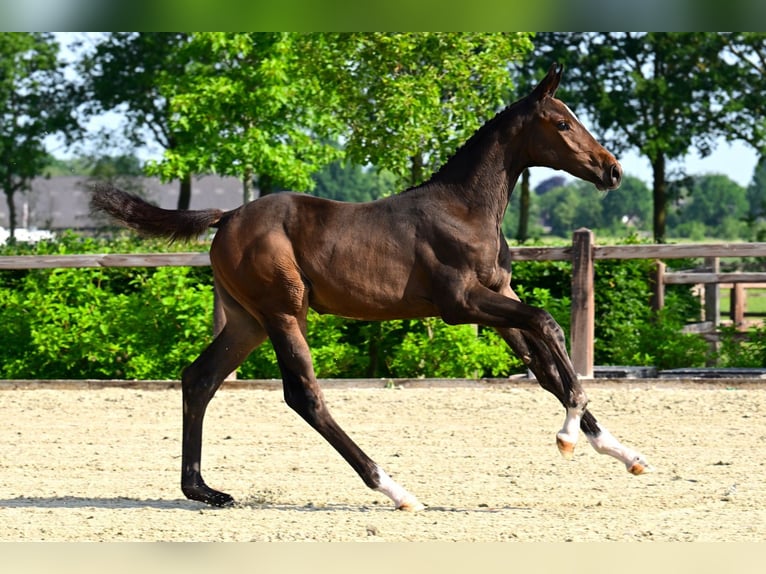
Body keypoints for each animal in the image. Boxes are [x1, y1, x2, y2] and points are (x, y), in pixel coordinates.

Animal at [91, 63, 650, 511]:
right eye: (562, 122)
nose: (613, 170)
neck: (466, 209)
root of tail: (227, 216)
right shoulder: (462, 304)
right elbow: (549, 325)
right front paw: (568, 433)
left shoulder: (499, 298)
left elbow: (545, 365)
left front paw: (625, 453)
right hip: (283, 312)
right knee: (303, 396)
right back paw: (395, 489)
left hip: (247, 321)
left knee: (199, 379)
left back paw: (205, 491)